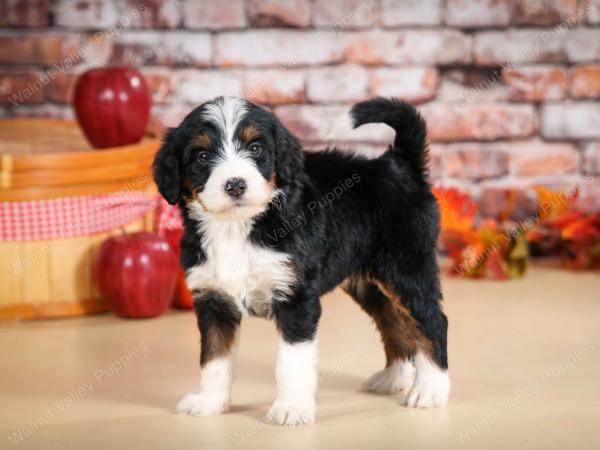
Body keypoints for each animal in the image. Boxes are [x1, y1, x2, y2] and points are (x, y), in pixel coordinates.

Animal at [152, 95, 448, 426]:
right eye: (202, 156)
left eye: (256, 148)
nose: (235, 184)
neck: (237, 227)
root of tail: (398, 163)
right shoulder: (213, 299)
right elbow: (214, 356)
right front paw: (209, 402)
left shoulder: (296, 297)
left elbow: (291, 361)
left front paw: (291, 408)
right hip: (367, 279)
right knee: (392, 319)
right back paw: (394, 376)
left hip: (406, 268)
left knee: (431, 321)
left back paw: (430, 389)